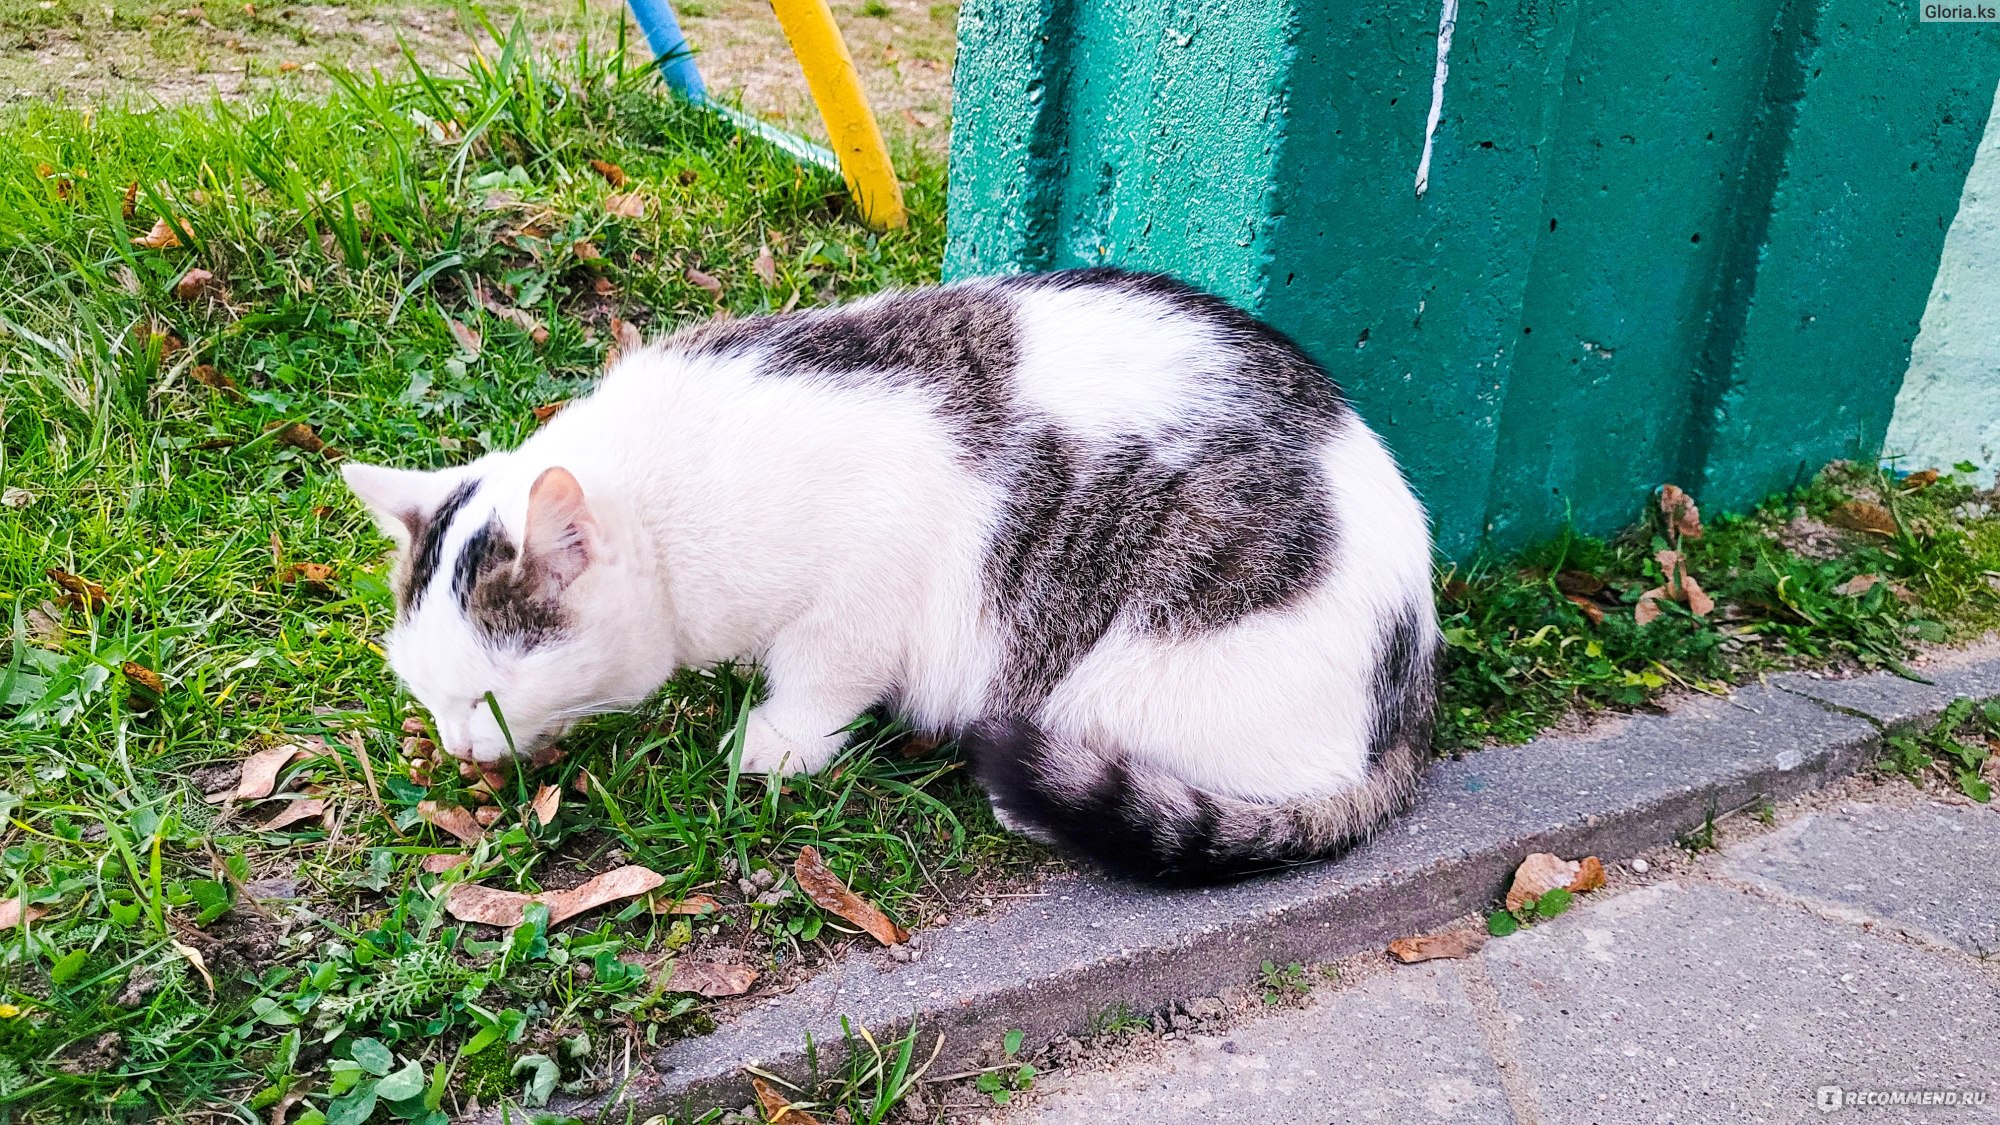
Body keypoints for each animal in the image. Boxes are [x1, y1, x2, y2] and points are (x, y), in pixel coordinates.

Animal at [344, 266, 1440, 880]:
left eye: (488, 694)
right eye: (426, 692)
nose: (461, 753)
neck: (664, 498)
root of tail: (1415, 679)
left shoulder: (859, 593)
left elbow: (821, 680)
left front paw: (775, 743)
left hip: (1148, 670)